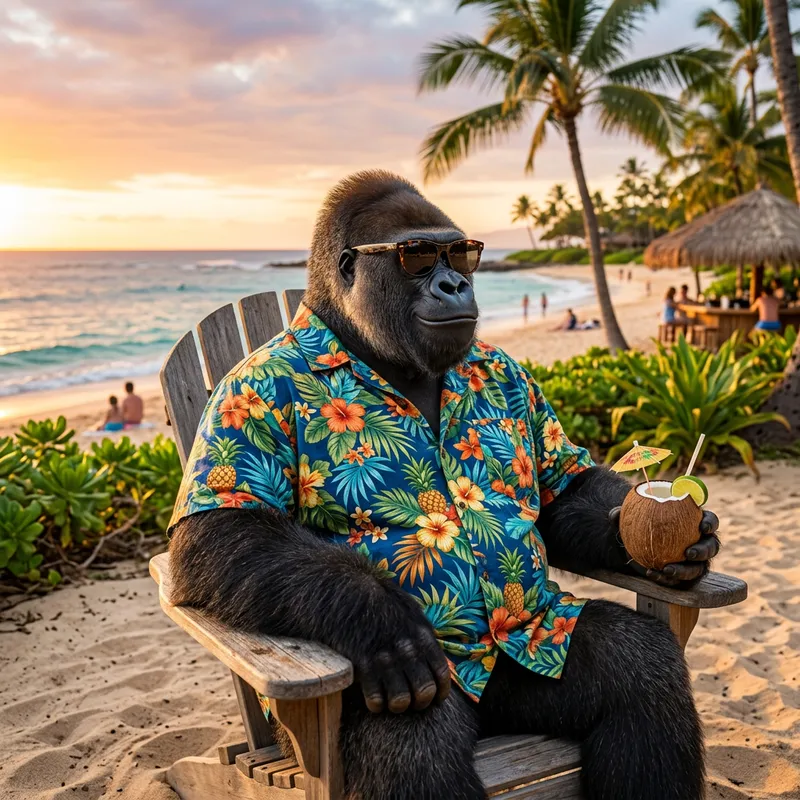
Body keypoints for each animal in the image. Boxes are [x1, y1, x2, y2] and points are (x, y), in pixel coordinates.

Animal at [168, 170, 720, 800]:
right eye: (417, 256)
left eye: (461, 252)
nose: (454, 281)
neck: (387, 360)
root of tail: (489, 711)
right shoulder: (244, 396)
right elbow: (220, 530)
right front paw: (380, 621)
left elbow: (563, 491)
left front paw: (687, 547)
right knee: (412, 747)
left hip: (537, 651)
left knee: (642, 668)